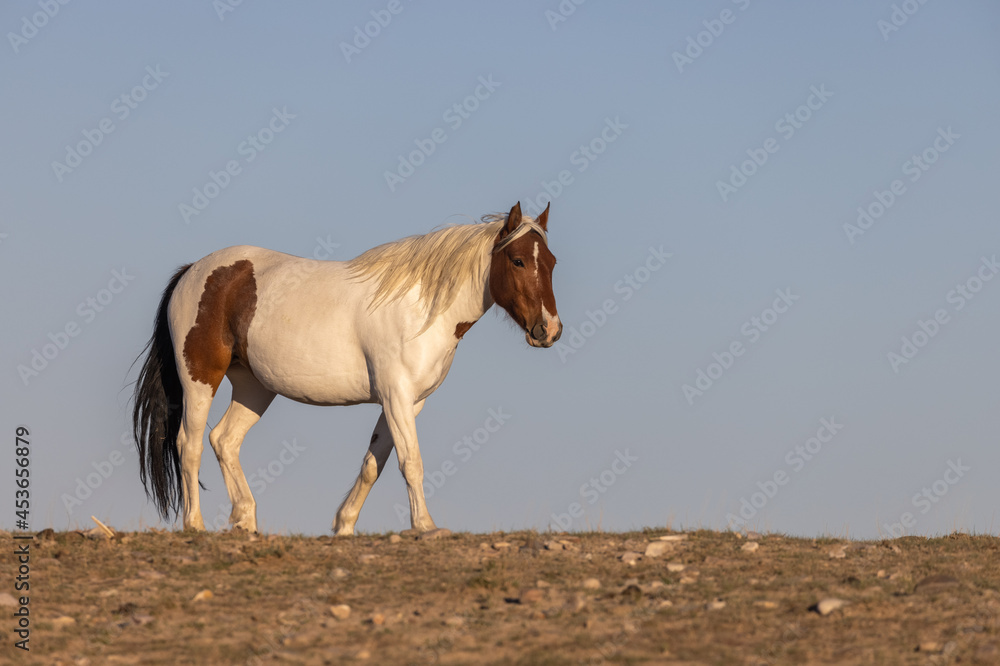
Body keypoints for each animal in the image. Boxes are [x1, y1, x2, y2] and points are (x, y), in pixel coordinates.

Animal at [131, 202, 561, 535]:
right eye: (518, 260)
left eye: (552, 263)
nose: (549, 330)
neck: (421, 309)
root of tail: (193, 270)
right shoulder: (396, 395)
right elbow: (411, 462)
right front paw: (425, 525)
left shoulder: (407, 402)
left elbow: (374, 463)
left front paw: (344, 525)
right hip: (200, 379)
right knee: (189, 445)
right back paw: (195, 524)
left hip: (255, 388)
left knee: (224, 440)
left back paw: (245, 520)